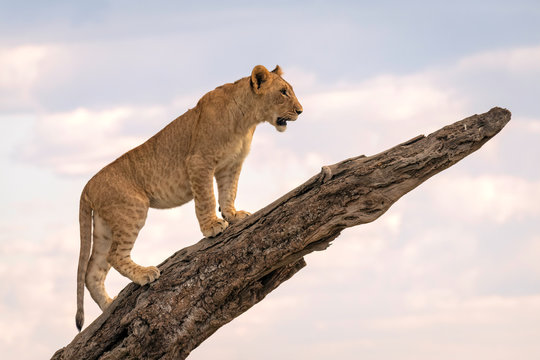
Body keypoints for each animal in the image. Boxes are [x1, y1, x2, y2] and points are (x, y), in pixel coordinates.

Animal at [75, 64, 304, 330]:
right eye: (283, 92)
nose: (301, 111)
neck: (247, 119)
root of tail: (87, 186)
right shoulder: (199, 162)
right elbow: (206, 197)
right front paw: (212, 227)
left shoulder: (231, 164)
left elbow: (229, 192)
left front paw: (234, 215)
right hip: (132, 210)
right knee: (114, 255)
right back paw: (144, 274)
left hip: (104, 226)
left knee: (92, 271)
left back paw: (108, 306)